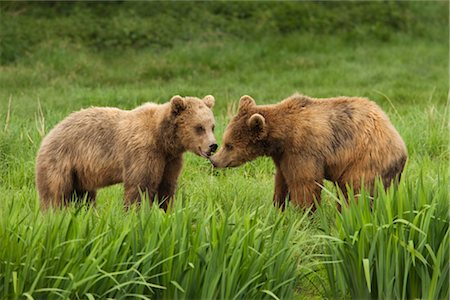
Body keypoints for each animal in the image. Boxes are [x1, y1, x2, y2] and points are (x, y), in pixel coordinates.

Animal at [36, 95, 216, 210]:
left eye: (212, 126)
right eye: (199, 127)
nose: (213, 145)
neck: (163, 139)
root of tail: (49, 134)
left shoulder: (170, 160)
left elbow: (166, 187)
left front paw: (168, 211)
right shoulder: (144, 151)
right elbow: (139, 186)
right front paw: (136, 213)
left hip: (80, 174)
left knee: (84, 196)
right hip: (60, 162)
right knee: (55, 195)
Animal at [211, 94, 408, 211]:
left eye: (229, 145)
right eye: (225, 141)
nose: (214, 160)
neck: (283, 136)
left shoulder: (303, 150)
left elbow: (304, 184)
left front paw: (303, 214)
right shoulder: (283, 156)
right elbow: (282, 180)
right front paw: (277, 207)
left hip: (364, 161)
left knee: (356, 192)